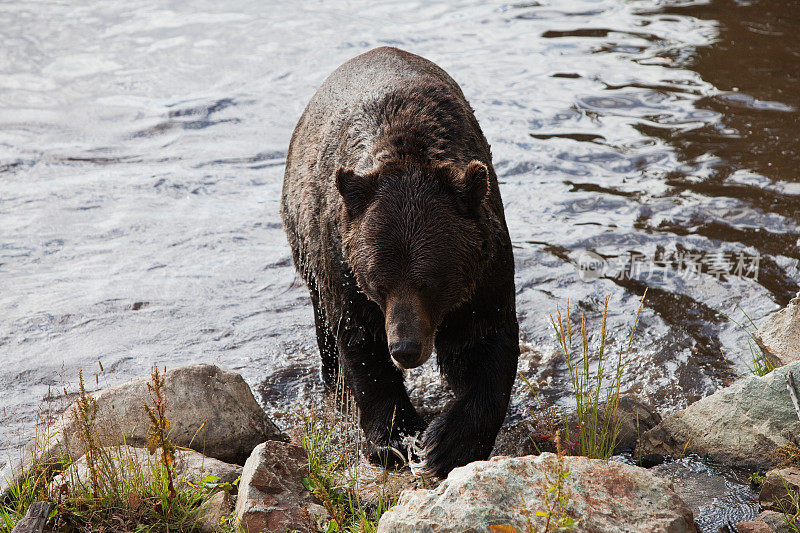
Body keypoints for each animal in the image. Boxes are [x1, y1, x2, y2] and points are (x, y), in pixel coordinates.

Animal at [280, 46, 520, 478]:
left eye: (432, 281)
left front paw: (447, 444)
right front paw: (395, 439)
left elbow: (487, 344)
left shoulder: (485, 269)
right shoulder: (344, 265)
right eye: (379, 282)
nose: (406, 348)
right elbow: (361, 347)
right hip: (306, 247)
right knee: (325, 327)